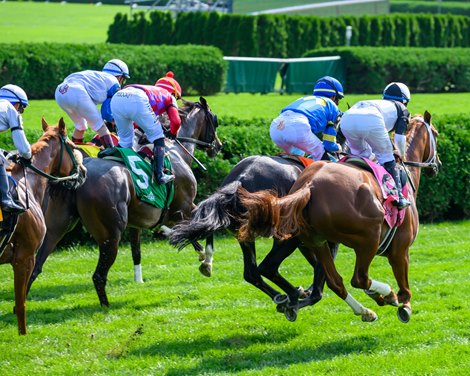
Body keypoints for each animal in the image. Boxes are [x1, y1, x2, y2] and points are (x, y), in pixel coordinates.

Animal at [27, 97, 222, 306]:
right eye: (214, 120)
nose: (218, 146)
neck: (175, 151)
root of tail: (78, 175)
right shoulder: (184, 207)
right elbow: (206, 226)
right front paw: (206, 262)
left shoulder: (149, 219)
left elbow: (139, 250)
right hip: (111, 233)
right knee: (98, 275)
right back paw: (106, 307)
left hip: (58, 225)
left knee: (36, 265)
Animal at [169, 153, 338, 320]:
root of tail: (240, 181)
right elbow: (324, 269)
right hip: (286, 236)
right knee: (267, 266)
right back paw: (293, 297)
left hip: (246, 236)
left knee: (252, 273)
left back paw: (283, 298)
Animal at [239, 111, 440, 324]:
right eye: (435, 133)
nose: (437, 164)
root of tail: (309, 186)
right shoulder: (400, 249)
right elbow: (404, 287)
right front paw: (403, 305)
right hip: (368, 238)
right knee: (358, 278)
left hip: (315, 241)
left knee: (334, 281)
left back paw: (362, 309)